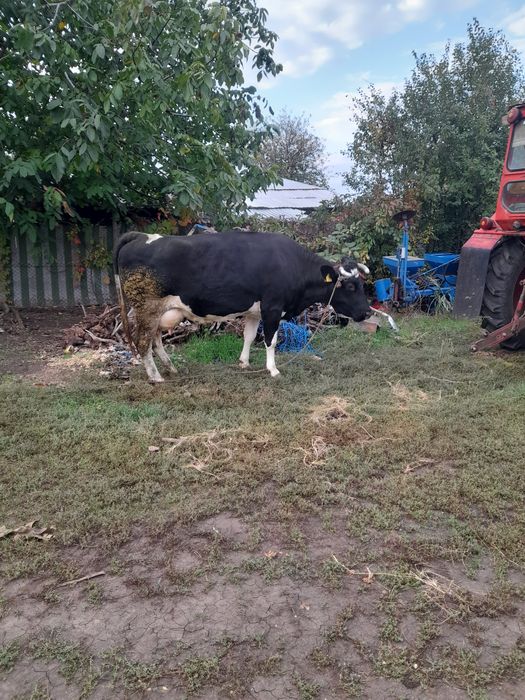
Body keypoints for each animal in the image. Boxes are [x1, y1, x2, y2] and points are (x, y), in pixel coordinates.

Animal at [113, 230, 371, 382]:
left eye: (361, 283)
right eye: (350, 286)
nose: (368, 311)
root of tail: (141, 235)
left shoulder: (254, 311)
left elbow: (249, 336)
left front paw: (244, 363)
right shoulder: (272, 308)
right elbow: (270, 340)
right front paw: (273, 369)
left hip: (159, 312)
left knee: (155, 340)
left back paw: (170, 368)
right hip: (147, 308)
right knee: (144, 342)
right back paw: (156, 377)